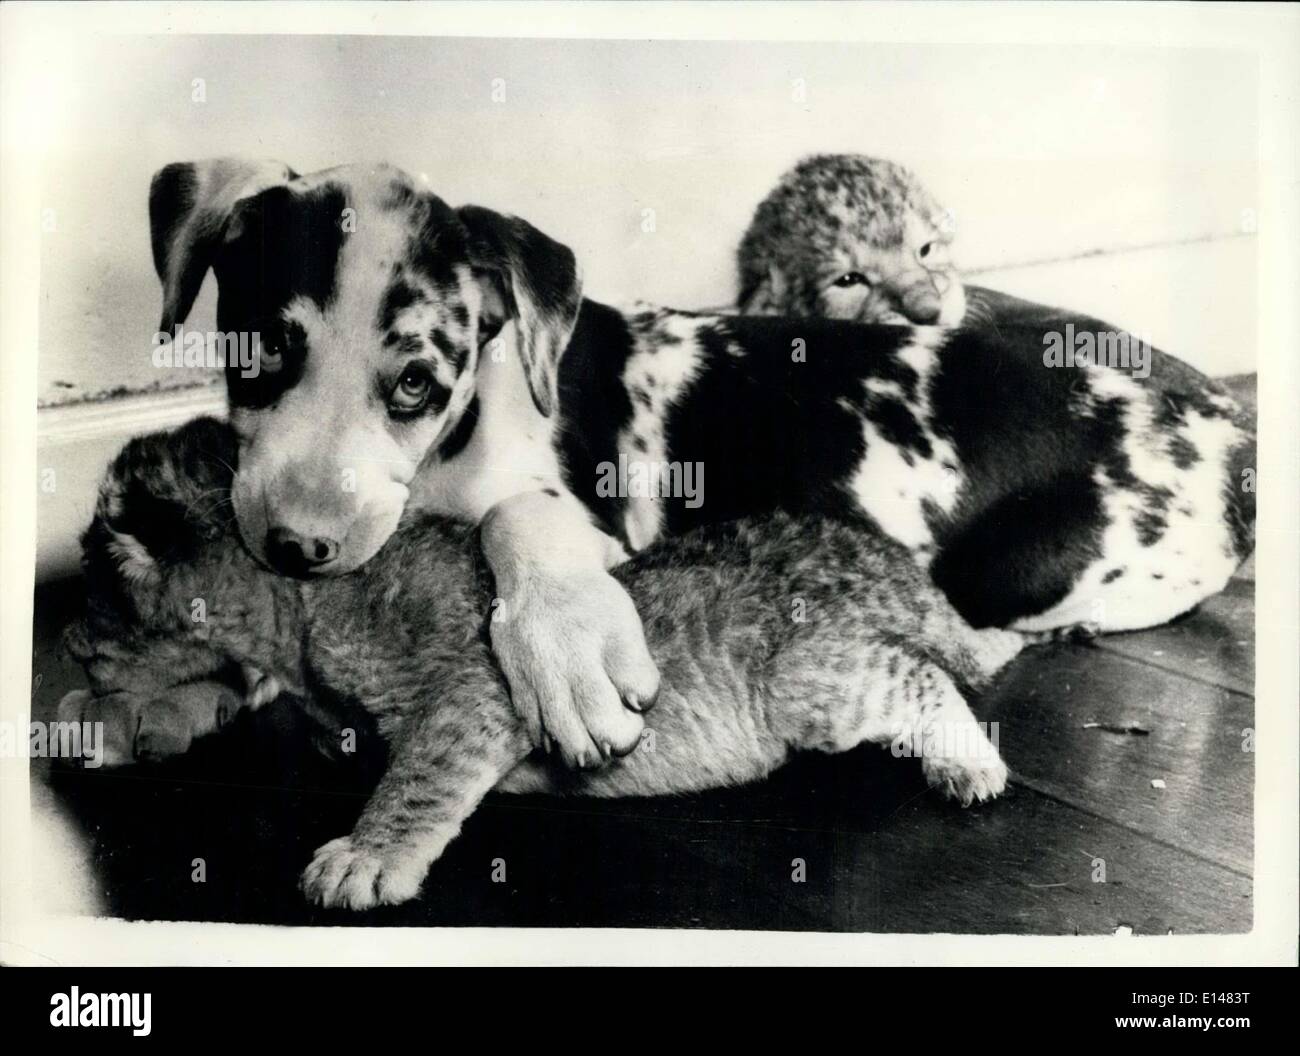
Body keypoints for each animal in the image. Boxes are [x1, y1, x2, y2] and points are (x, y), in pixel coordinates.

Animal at [134, 156, 1258, 764]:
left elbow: (517, 518)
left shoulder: (577, 515)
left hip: (1024, 566)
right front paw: (189, 684)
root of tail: (1228, 430)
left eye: (415, 381)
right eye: (260, 350)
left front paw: (567, 652)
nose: (295, 547)